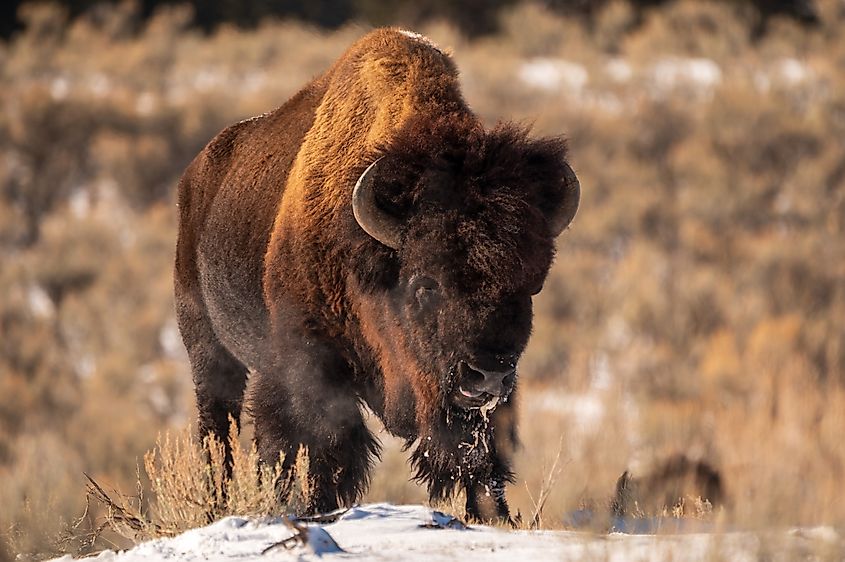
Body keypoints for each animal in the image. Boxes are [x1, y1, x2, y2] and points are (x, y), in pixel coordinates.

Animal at [174, 28, 580, 522]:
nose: (487, 376)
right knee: (218, 431)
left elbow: (479, 457)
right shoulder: (305, 369)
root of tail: (197, 176)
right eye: (425, 284)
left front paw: (492, 517)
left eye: (530, 286)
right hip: (207, 348)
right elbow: (318, 447)